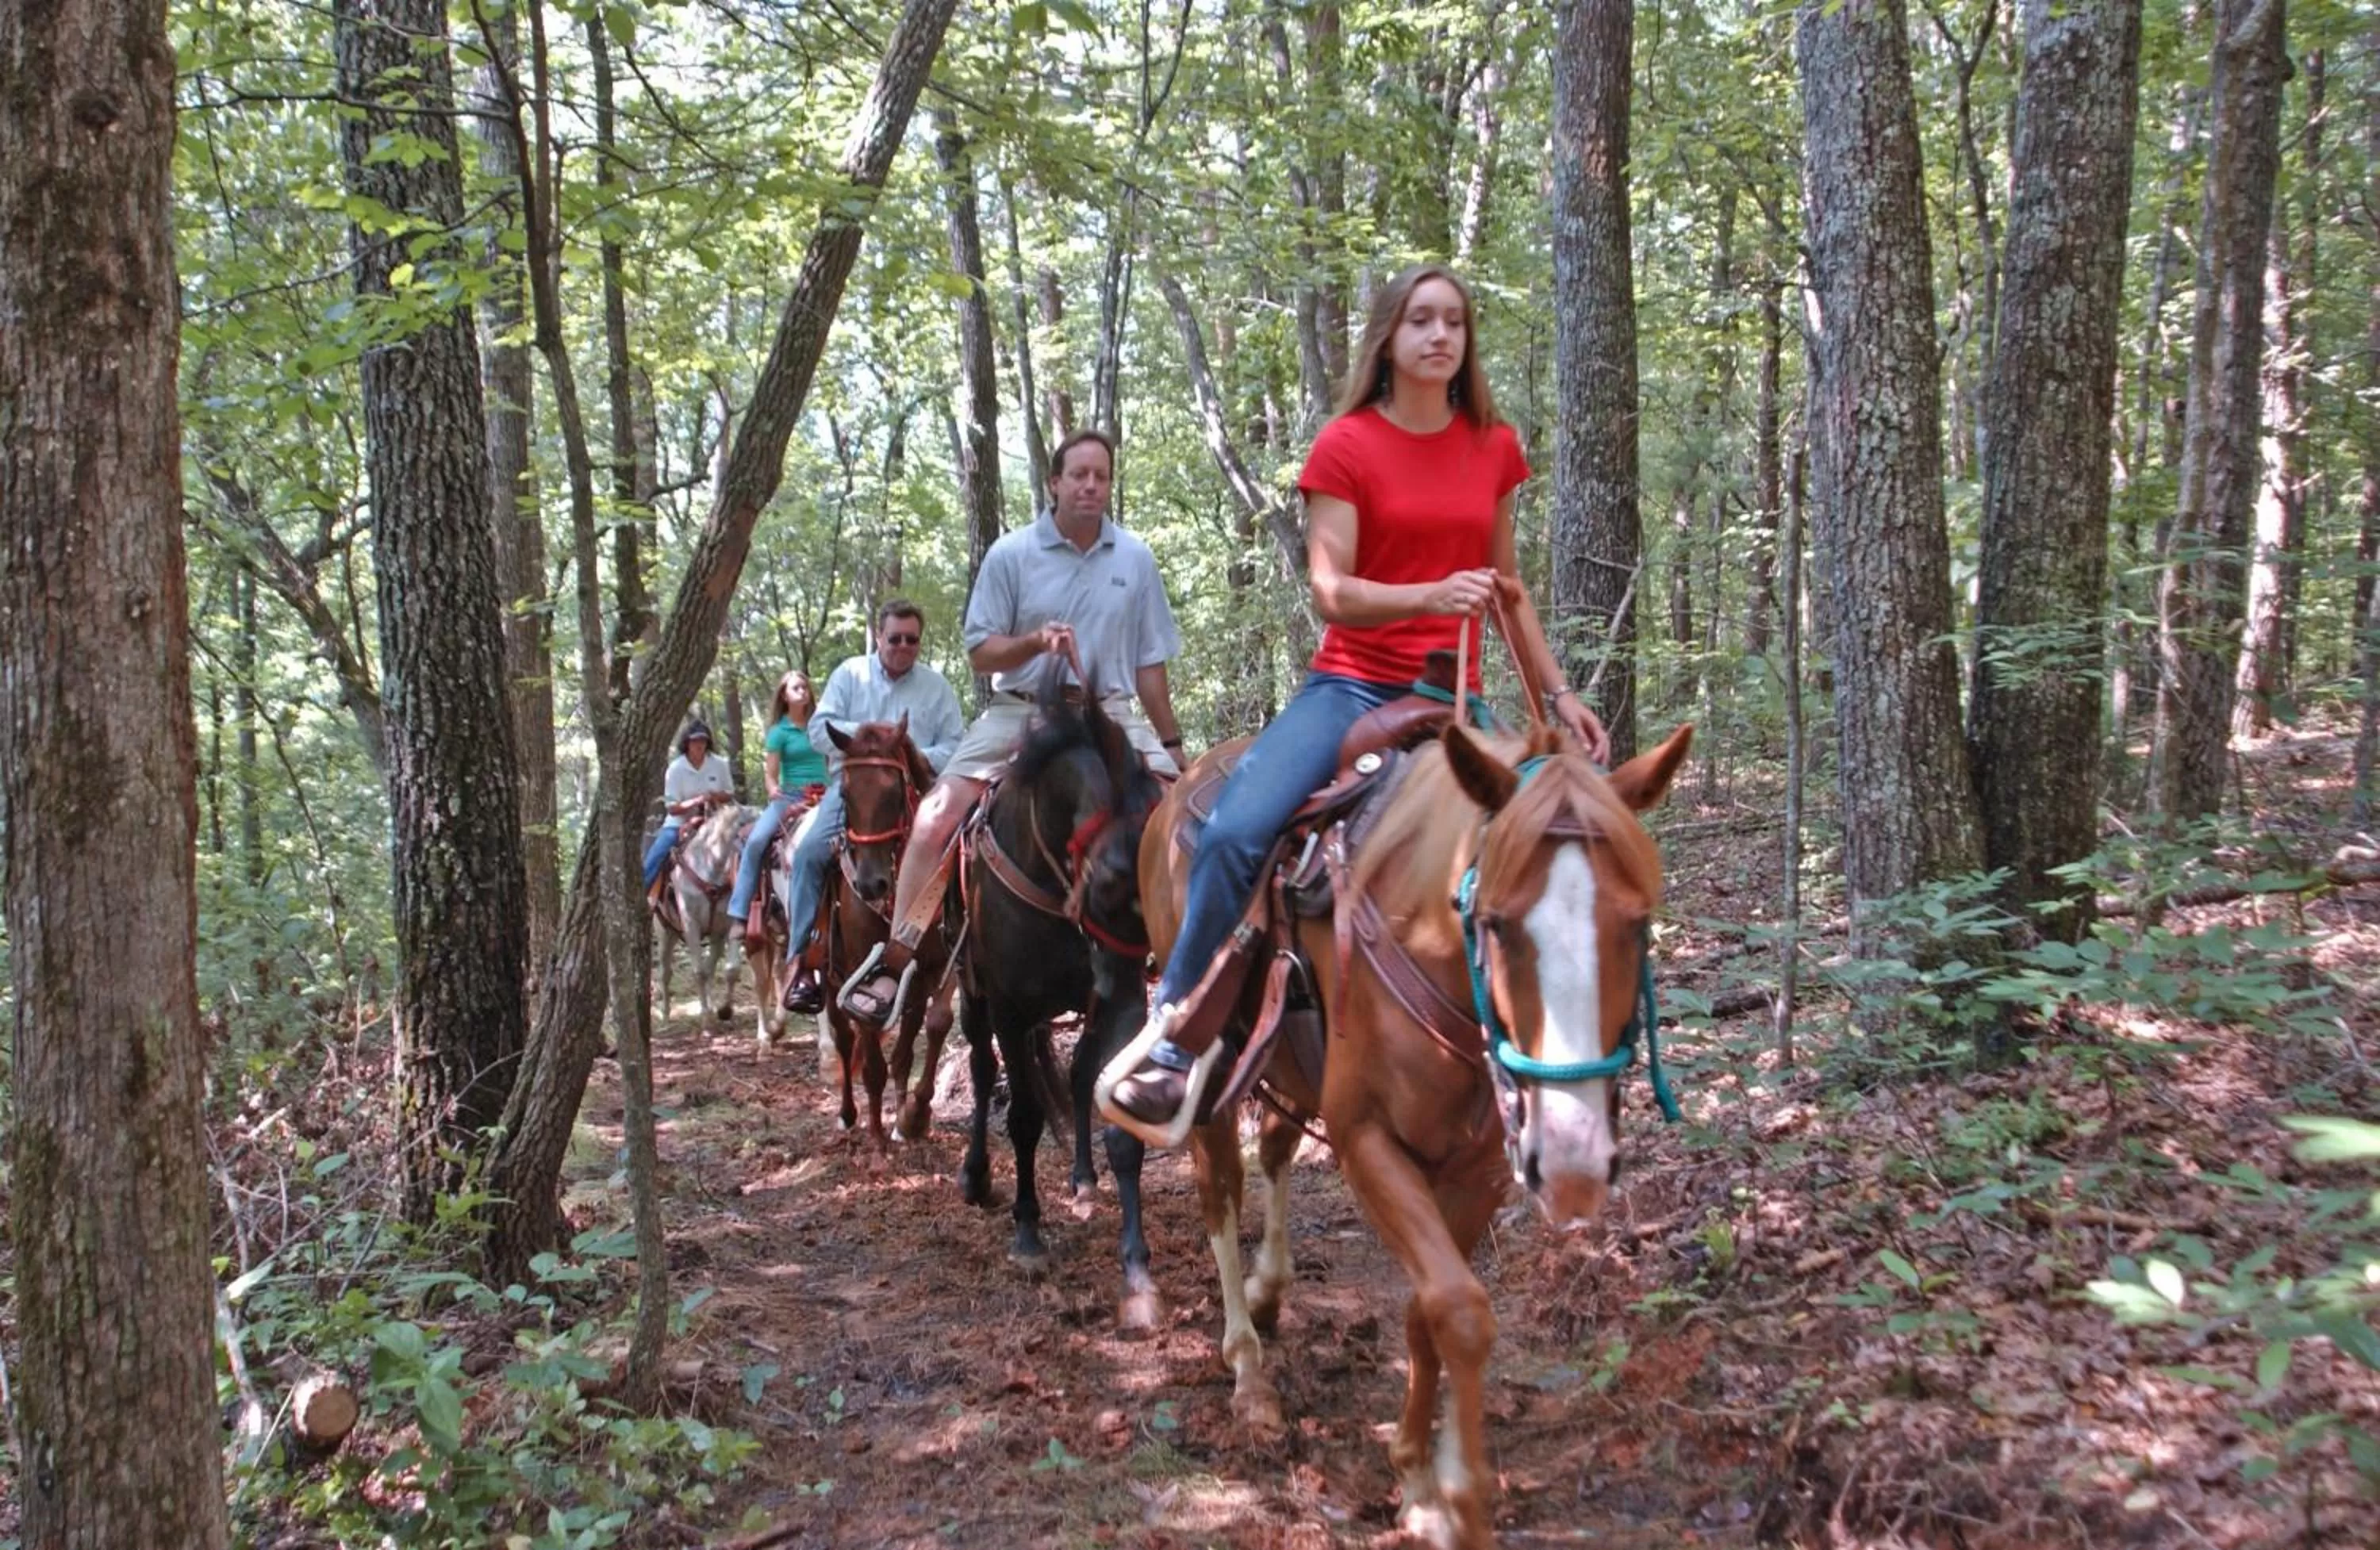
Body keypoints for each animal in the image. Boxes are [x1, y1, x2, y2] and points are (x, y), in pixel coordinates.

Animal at [806, 718, 956, 1146]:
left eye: (894, 792)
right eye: (846, 793)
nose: (871, 885)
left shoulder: (939, 967)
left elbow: (932, 1028)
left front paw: (912, 1118)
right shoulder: (857, 972)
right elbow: (871, 1061)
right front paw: (876, 1131)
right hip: (830, 977)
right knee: (844, 1039)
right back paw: (849, 1115)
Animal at [956, 686, 1165, 1321]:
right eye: (1113, 876)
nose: (1126, 968)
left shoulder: (1123, 1007)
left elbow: (1120, 1127)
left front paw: (1137, 1271)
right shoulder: (1010, 1008)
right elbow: (1023, 1118)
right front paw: (1027, 1233)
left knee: (1075, 1075)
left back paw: (1083, 1179)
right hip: (973, 998)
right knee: (982, 1069)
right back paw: (976, 1176)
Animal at [1137, 719, 1692, 1550]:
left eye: (1637, 924)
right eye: (1494, 923)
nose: (1574, 1162)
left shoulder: (1482, 1168)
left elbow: (1428, 1310)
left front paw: (1420, 1478)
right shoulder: (1368, 1143)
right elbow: (1457, 1310)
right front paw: (1454, 1498)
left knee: (1274, 1152)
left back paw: (1270, 1291)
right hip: (1212, 1070)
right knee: (1220, 1191)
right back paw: (1249, 1370)